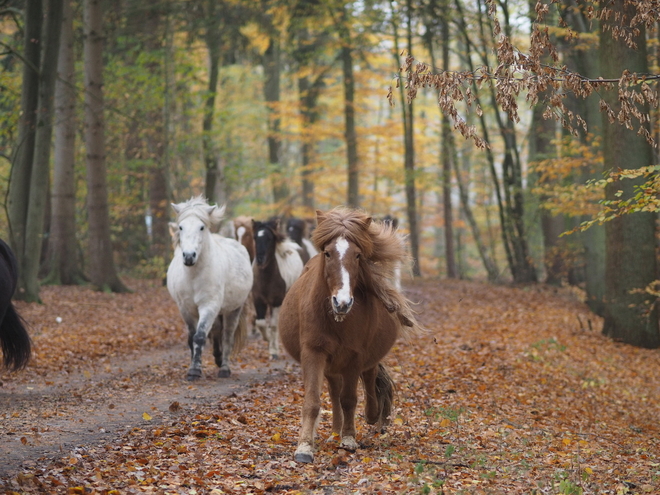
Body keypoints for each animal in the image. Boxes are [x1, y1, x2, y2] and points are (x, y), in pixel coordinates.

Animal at [168, 197, 253, 380]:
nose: (189, 256)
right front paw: (193, 367)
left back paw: (224, 368)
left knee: (227, 336)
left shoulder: (209, 305)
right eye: (181, 227)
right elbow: (191, 338)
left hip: (233, 309)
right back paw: (218, 359)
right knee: (216, 331)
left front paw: (195, 371)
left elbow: (200, 336)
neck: (193, 276)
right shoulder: (185, 308)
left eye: (201, 227)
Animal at [278, 207, 420, 464]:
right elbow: (314, 401)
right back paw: (335, 430)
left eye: (357, 255)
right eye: (327, 253)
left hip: (360, 359)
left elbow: (350, 399)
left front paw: (349, 439)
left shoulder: (354, 357)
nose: (342, 302)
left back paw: (371, 416)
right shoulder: (314, 352)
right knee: (334, 392)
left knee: (369, 379)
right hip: (331, 364)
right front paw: (304, 447)